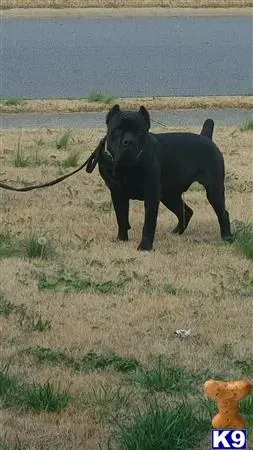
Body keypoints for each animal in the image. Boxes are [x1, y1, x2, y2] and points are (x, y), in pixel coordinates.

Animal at [87, 105, 233, 251]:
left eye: (140, 131)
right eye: (117, 130)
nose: (128, 141)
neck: (126, 166)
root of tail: (206, 137)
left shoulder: (151, 194)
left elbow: (149, 223)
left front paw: (145, 246)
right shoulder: (117, 193)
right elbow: (121, 217)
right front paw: (121, 239)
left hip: (213, 190)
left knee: (223, 213)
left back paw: (227, 238)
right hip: (170, 195)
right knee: (186, 211)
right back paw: (176, 232)